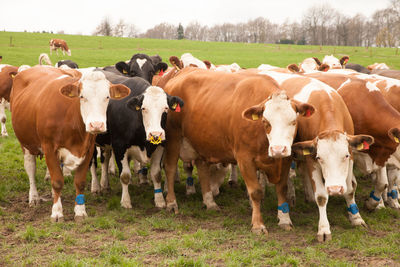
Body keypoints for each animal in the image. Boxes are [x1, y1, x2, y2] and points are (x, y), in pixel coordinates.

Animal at [10, 66, 130, 222]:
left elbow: (79, 181)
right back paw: (34, 197)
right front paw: (57, 212)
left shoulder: (88, 149)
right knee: (30, 168)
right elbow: (57, 181)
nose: (96, 125)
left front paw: (80, 211)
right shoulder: (49, 148)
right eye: (82, 96)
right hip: (26, 143)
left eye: (107, 97)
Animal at [90, 70, 184, 210]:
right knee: (92, 163)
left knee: (105, 159)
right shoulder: (119, 147)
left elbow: (156, 174)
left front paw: (160, 200)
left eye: (166, 108)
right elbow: (124, 176)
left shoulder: (159, 147)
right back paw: (96, 187)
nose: (155, 133)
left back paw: (105, 184)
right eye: (144, 108)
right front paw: (125, 201)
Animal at [162, 68, 316, 236]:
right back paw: (171, 203)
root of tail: (181, 73)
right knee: (170, 169)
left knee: (202, 170)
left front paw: (284, 219)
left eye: (293, 121)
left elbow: (282, 189)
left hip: (200, 140)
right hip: (173, 138)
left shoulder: (285, 160)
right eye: (265, 122)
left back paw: (210, 202)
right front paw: (258, 224)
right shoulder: (245, 159)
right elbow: (255, 192)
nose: (278, 149)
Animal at [258, 70, 374, 243]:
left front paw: (356, 218)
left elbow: (350, 189)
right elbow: (321, 196)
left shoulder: (351, 158)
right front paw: (324, 229)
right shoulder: (311, 160)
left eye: (346, 155)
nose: (334, 189)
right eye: (320, 158)